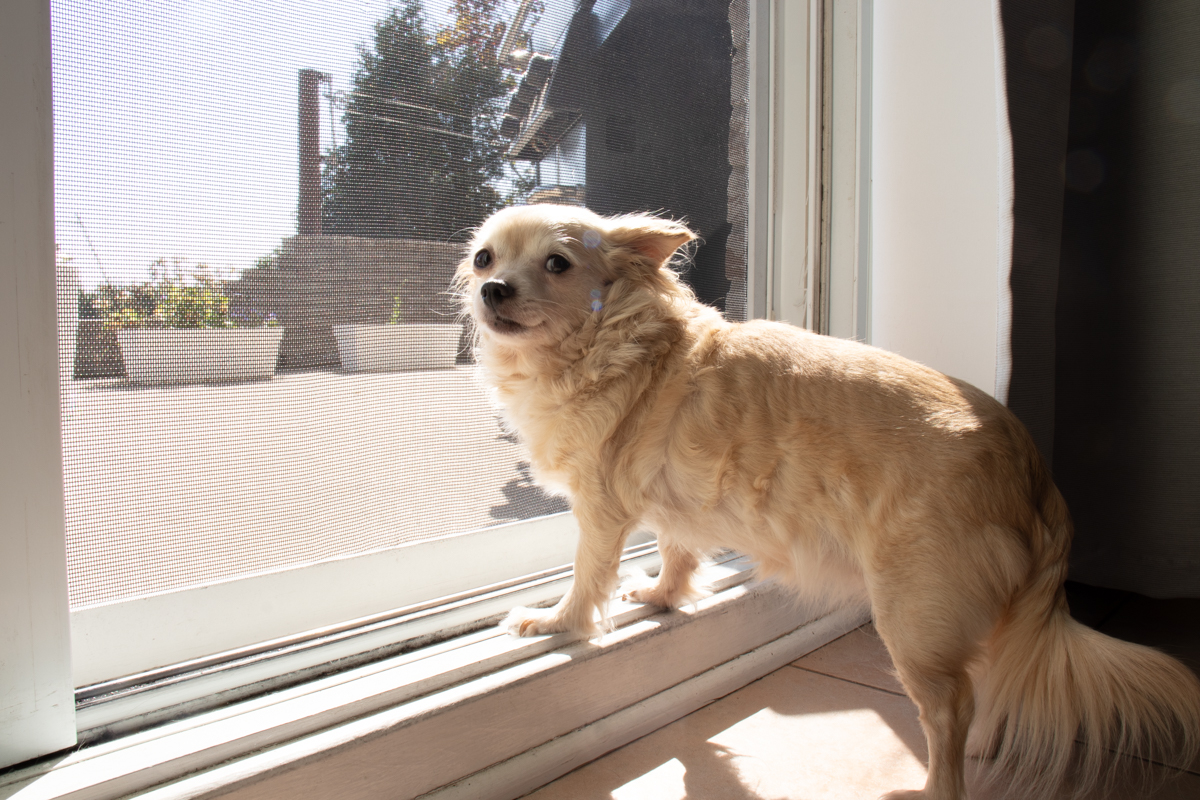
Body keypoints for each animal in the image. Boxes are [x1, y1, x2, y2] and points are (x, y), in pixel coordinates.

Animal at [456, 205, 1200, 800]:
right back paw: (991, 745)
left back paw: (937, 786)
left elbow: (587, 583)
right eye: (484, 257)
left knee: (951, 708)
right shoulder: (676, 505)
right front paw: (664, 598)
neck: (607, 339)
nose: (491, 288)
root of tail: (1035, 477)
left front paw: (554, 625)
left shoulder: (600, 511)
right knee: (991, 674)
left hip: (912, 615)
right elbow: (679, 552)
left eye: (556, 264)